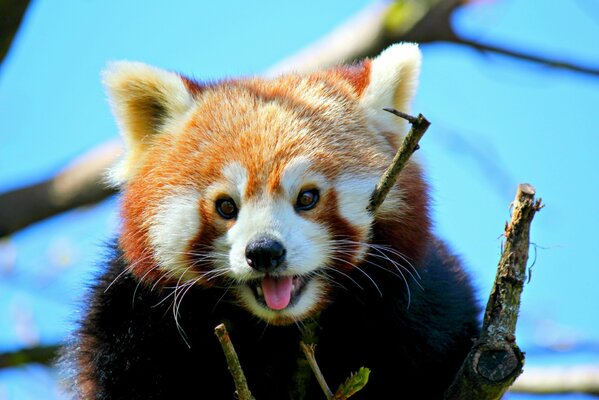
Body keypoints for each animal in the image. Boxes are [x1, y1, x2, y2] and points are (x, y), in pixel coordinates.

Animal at [67, 42, 478, 398]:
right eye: (226, 207)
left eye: (307, 197)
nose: (264, 252)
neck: (274, 331)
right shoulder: (130, 324)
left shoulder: (424, 310)